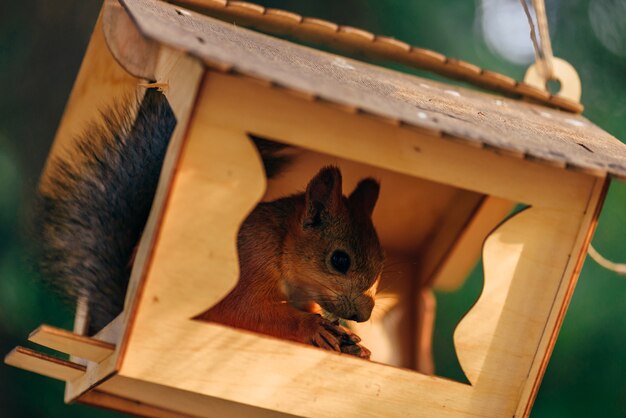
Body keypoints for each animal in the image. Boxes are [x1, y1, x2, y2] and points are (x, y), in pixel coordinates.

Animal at [39, 90, 382, 358]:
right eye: (340, 260)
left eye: (381, 263)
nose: (364, 316)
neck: (282, 243)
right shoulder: (251, 263)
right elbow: (246, 310)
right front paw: (313, 327)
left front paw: (353, 344)